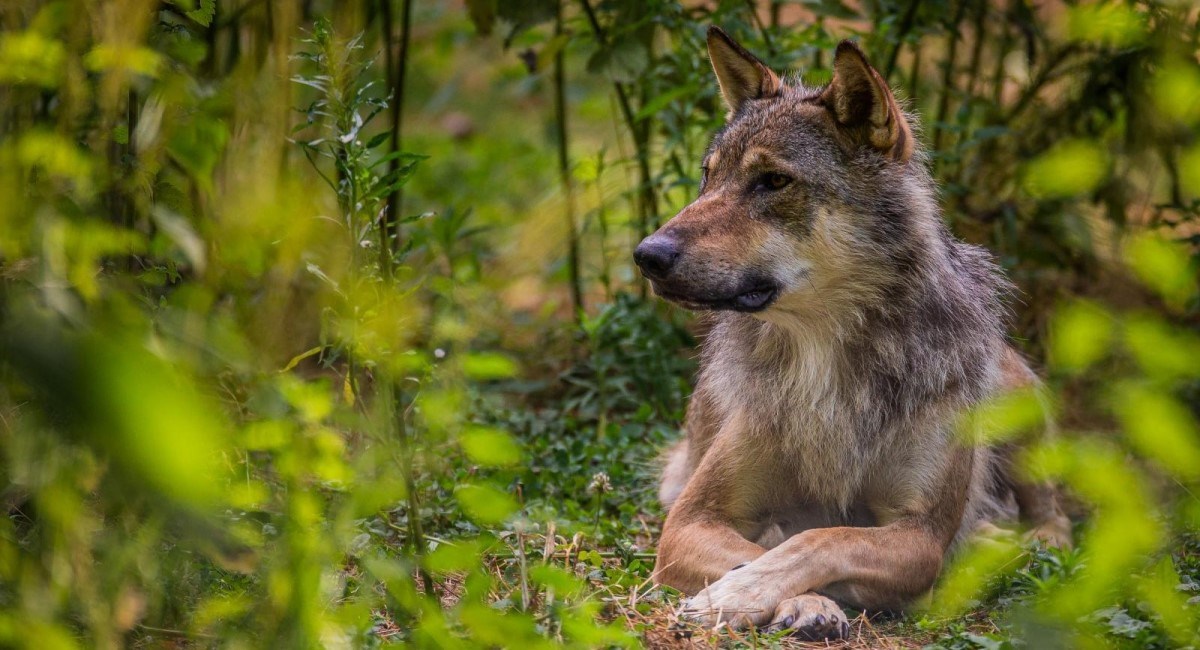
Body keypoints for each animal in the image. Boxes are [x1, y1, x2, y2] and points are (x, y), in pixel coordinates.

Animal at [633, 26, 1075, 642]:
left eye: (773, 181)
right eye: (708, 176)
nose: (647, 255)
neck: (827, 362)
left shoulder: (918, 537)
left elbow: (821, 538)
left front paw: (742, 593)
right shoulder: (689, 521)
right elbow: (773, 544)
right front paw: (803, 602)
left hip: (1015, 405)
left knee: (1053, 513)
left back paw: (1021, 542)